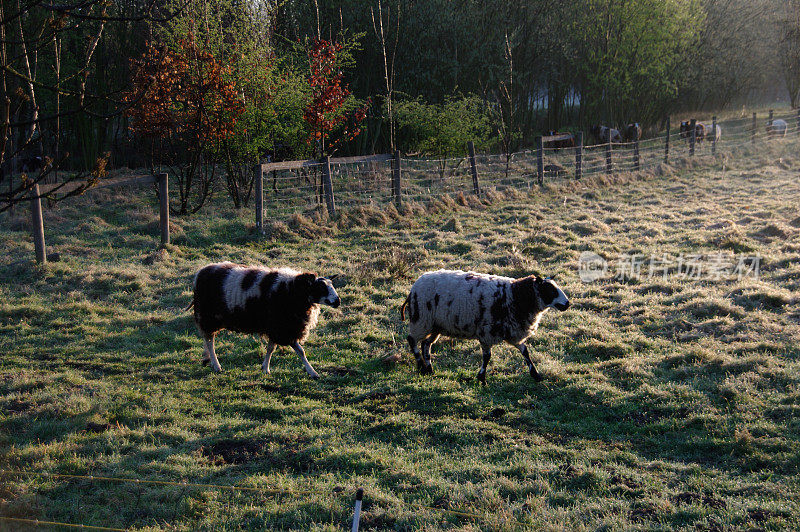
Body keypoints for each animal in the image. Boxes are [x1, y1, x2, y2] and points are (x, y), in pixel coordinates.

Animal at [191, 262, 340, 378]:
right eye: (321, 287)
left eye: (332, 286)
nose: (338, 301)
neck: (293, 291)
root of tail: (201, 272)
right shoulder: (284, 328)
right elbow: (300, 351)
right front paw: (313, 372)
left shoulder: (275, 326)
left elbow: (271, 348)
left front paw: (265, 368)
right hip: (208, 316)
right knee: (210, 340)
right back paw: (216, 365)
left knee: (207, 338)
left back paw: (207, 359)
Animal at [400, 270, 568, 382]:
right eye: (550, 290)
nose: (567, 304)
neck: (515, 296)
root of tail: (413, 288)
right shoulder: (487, 333)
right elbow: (487, 357)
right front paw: (481, 377)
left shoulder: (513, 333)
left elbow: (525, 352)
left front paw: (536, 374)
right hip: (422, 320)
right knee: (412, 340)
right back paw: (420, 364)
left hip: (435, 326)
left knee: (425, 344)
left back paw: (429, 369)